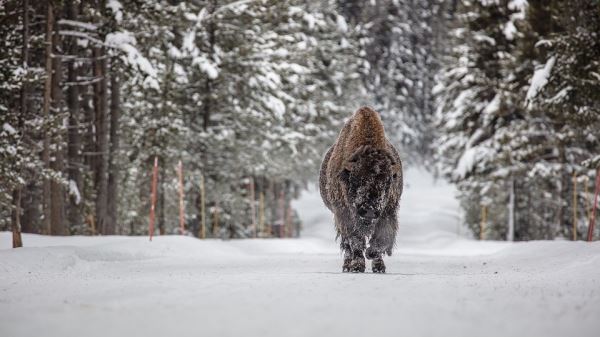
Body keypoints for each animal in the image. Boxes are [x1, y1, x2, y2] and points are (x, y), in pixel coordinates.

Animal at [318, 106, 404, 272]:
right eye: (356, 180)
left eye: (387, 182)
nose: (369, 211)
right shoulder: (344, 214)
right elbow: (355, 240)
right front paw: (357, 266)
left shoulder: (388, 211)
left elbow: (382, 238)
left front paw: (374, 258)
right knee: (347, 245)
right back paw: (348, 265)